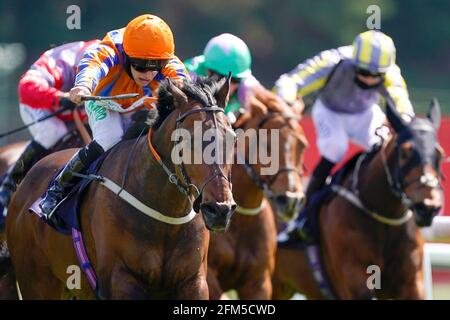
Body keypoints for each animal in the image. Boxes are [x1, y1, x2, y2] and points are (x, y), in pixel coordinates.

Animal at [6, 78, 236, 300]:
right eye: (188, 140)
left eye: (233, 138)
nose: (220, 210)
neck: (164, 215)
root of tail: (22, 186)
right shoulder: (120, 280)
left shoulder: (193, 282)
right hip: (38, 281)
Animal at [207, 86, 308, 298]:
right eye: (267, 144)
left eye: (303, 145)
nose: (291, 200)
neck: (241, 221)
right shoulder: (208, 278)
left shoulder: (259, 282)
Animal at [270, 99, 442, 298]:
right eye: (405, 153)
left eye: (439, 154)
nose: (428, 207)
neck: (384, 215)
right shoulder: (354, 280)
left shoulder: (411, 283)